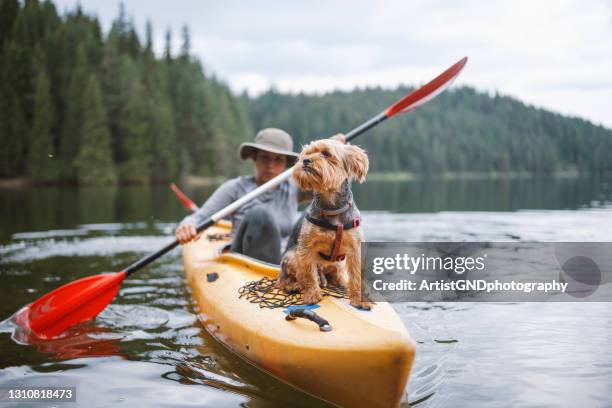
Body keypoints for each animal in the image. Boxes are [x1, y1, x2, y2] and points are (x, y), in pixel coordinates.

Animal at [274, 138, 370, 310]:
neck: (332, 207)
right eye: (307, 153)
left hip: (337, 264)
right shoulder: (305, 248)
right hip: (291, 257)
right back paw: (293, 285)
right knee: (285, 278)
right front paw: (312, 295)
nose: (305, 160)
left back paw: (339, 282)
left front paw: (359, 299)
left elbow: (356, 275)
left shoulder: (355, 248)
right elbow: (308, 274)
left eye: (326, 153)